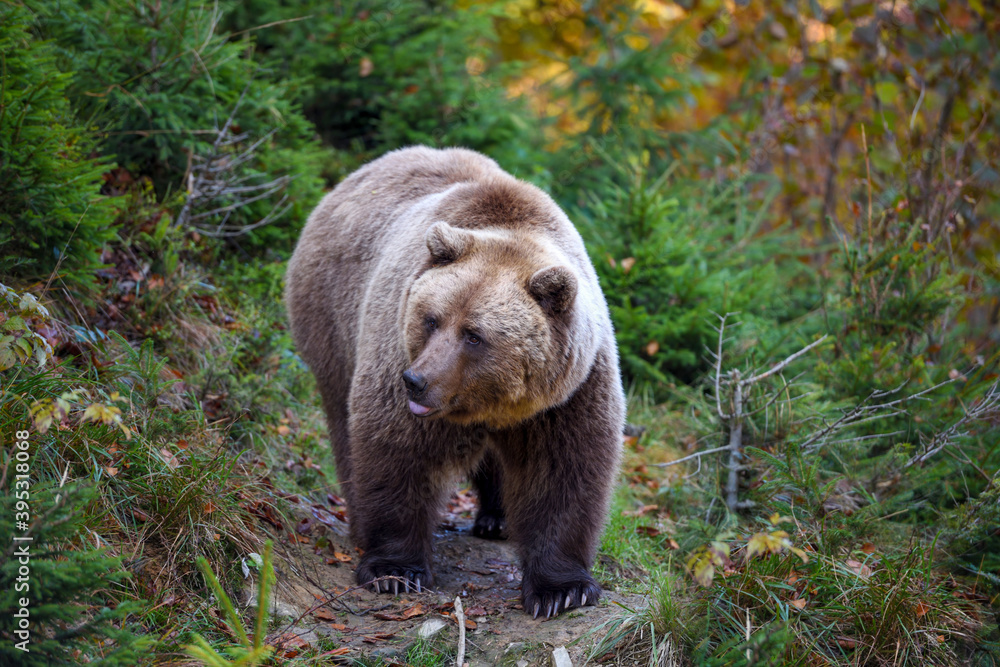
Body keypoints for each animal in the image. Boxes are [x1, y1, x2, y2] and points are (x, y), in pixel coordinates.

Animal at [285, 146, 625, 618]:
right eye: (431, 318)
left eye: (474, 335)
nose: (416, 381)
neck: (497, 403)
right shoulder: (394, 351)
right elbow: (396, 450)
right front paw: (395, 570)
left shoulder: (570, 392)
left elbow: (563, 470)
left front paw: (561, 589)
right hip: (331, 323)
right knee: (343, 421)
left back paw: (496, 519)